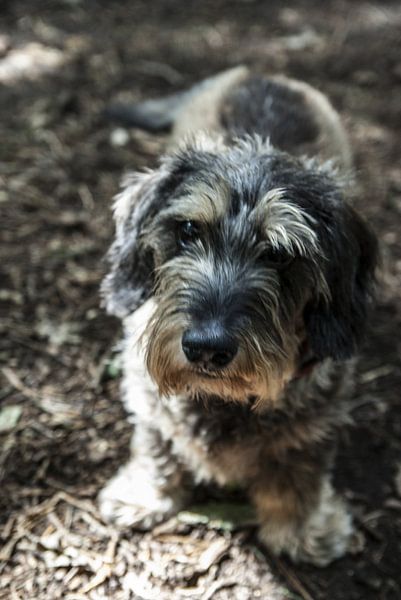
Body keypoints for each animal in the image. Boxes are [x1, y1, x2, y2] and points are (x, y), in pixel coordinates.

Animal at [98, 67, 376, 568]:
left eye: (281, 255)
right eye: (188, 230)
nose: (206, 348)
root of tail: (254, 72)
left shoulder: (317, 413)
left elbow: (300, 466)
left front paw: (301, 527)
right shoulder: (148, 401)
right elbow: (155, 443)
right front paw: (146, 494)